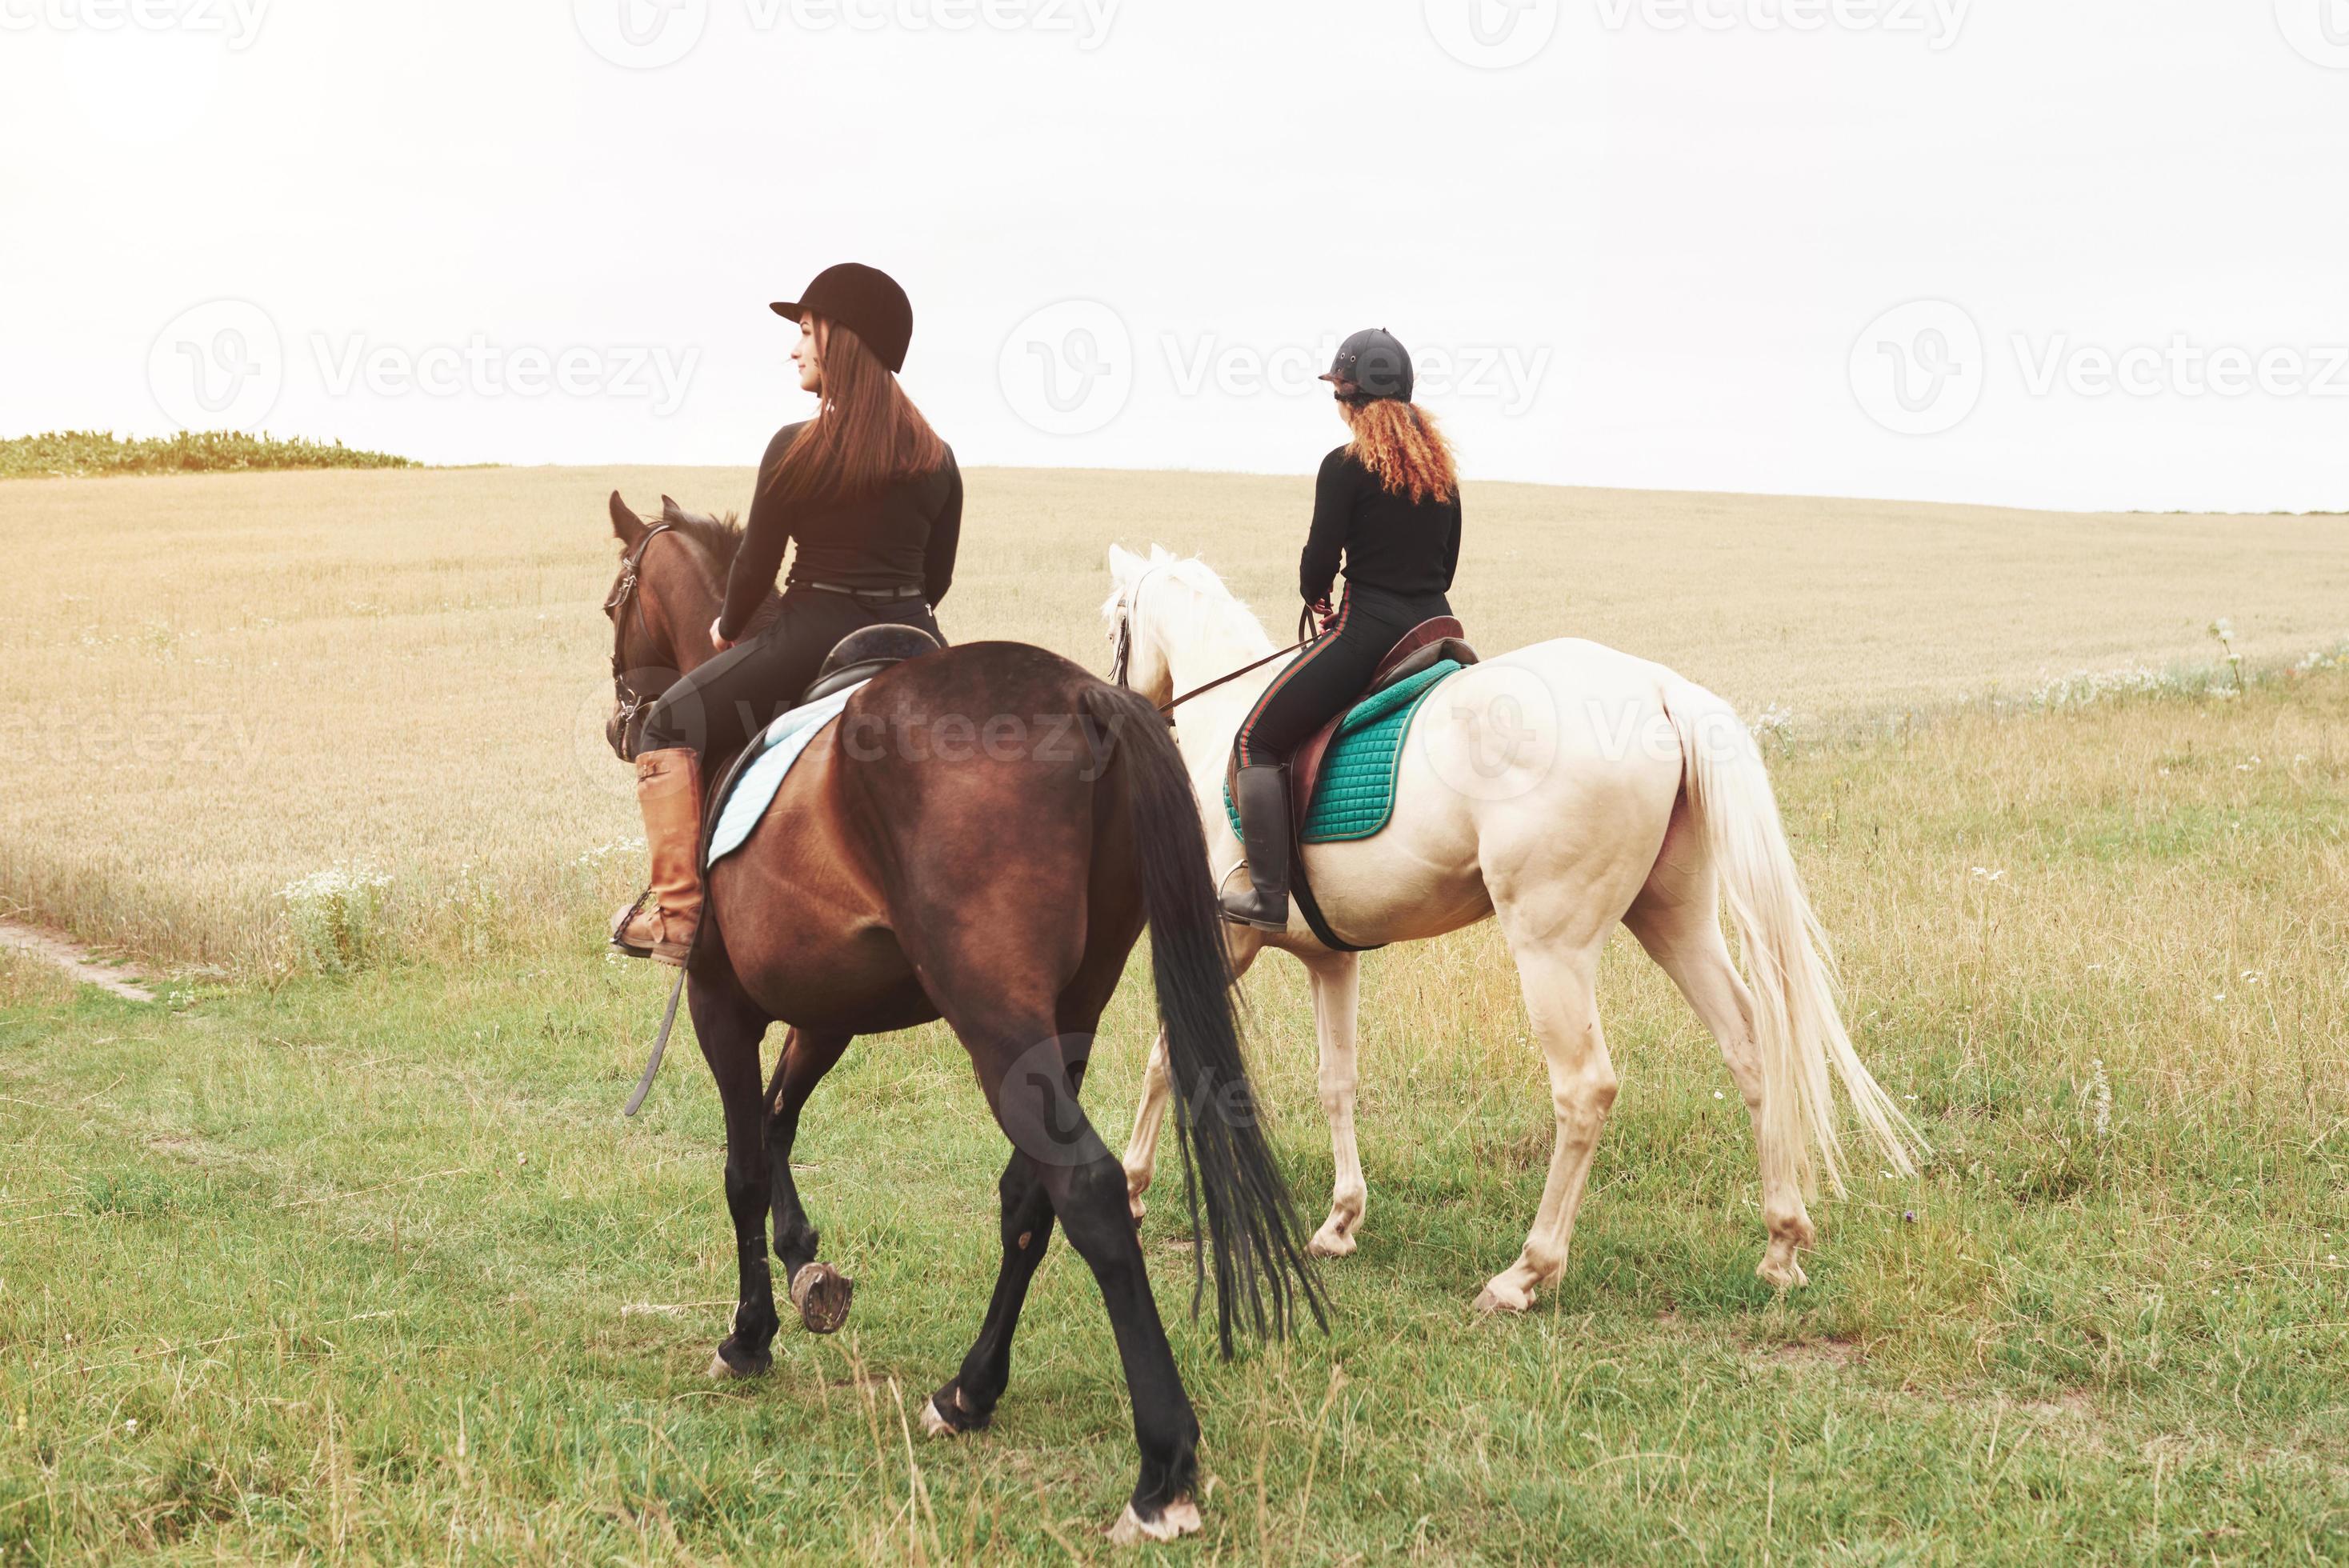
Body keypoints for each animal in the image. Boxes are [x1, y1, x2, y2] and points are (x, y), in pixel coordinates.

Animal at [596, 493, 1324, 1539]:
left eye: (617, 600)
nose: (623, 717)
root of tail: (1087, 701)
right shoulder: (829, 1010)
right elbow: (778, 1120)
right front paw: (806, 1264)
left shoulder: (718, 1002)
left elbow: (740, 1162)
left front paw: (748, 1333)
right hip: (1064, 1017)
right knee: (1031, 1193)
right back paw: (969, 1391)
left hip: (992, 1017)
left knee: (1086, 1188)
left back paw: (1161, 1468)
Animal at [1108, 549, 1916, 1314]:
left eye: (1114, 618)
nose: (1127, 707)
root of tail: (1657, 689)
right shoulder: (1331, 962)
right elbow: (1336, 1080)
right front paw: (1340, 1223)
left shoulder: (1225, 937)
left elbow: (1165, 1056)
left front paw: (1132, 1186)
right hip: (1675, 921)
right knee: (1751, 1046)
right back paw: (1781, 1246)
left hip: (1551, 947)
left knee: (1585, 1089)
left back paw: (1525, 1272)